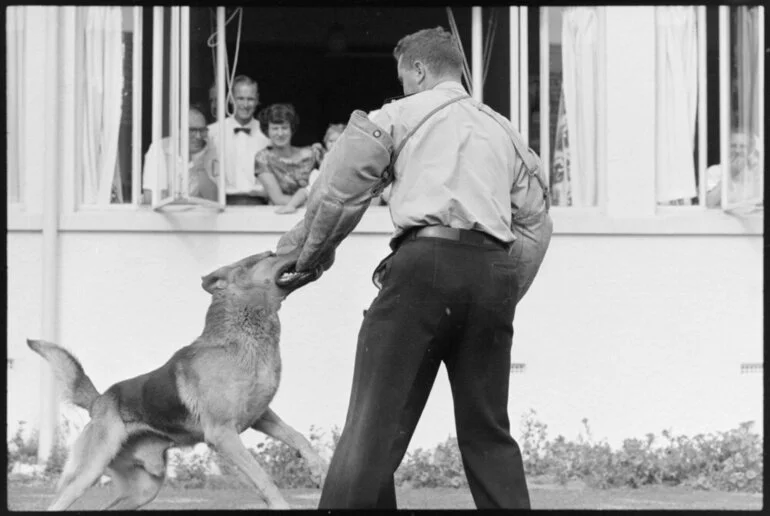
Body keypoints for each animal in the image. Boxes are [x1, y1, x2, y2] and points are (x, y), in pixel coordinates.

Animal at [27, 249, 326, 508]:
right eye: (270, 254)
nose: (308, 249)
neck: (244, 336)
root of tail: (100, 401)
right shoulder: (223, 435)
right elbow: (263, 478)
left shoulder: (261, 416)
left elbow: (298, 437)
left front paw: (318, 469)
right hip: (87, 473)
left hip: (144, 489)